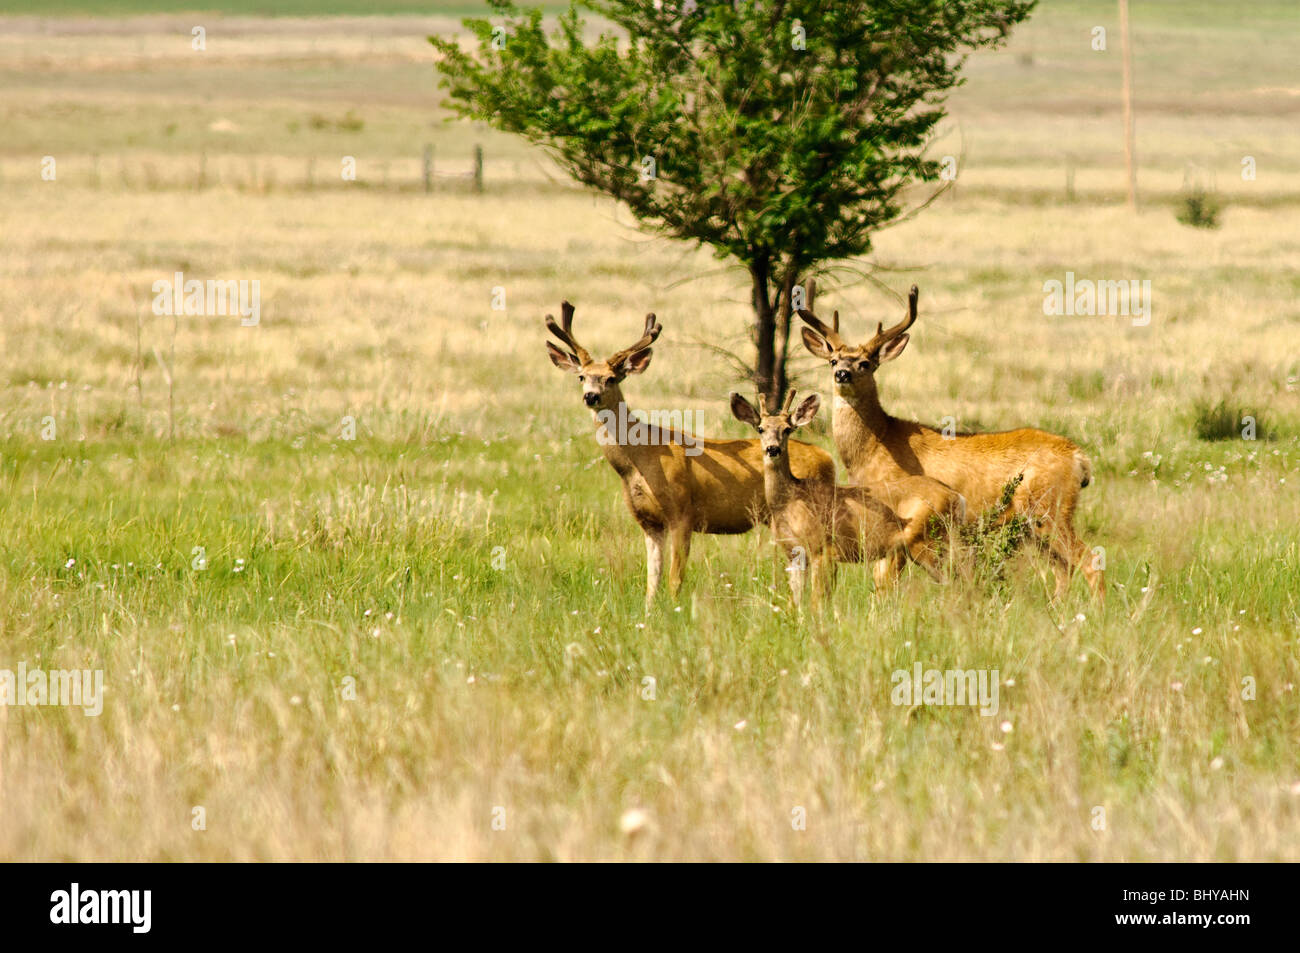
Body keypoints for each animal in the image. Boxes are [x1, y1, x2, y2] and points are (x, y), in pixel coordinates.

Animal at [544, 301, 837, 608]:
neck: (640, 459)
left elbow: (675, 579)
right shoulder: (648, 522)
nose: (590, 396)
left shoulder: (682, 512)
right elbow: (651, 582)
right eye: (581, 376)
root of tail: (827, 458)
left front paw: (674, 610)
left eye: (611, 379)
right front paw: (650, 613)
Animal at [729, 389, 962, 607]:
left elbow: (817, 601)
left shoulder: (822, 548)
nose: (773, 449)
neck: (790, 501)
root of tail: (956, 496)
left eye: (787, 429)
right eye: (760, 429)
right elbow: (795, 603)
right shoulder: (794, 554)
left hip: (927, 541)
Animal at [798, 285, 1104, 601]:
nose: (842, 374)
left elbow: (885, 582)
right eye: (833, 360)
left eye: (866, 363)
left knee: (1090, 561)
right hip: (1034, 523)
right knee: (1063, 569)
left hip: (1051, 508)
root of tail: (1079, 457)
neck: (877, 444)